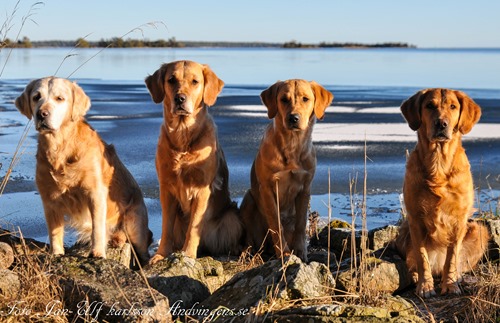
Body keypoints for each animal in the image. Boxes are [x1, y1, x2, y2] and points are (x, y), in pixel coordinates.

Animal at [15, 77, 152, 264]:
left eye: (59, 98)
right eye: (36, 97)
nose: (41, 114)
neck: (61, 146)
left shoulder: (95, 193)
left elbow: (97, 229)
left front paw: (98, 253)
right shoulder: (49, 199)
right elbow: (54, 232)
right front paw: (56, 254)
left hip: (134, 224)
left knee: (142, 250)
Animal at [145, 60, 242, 264]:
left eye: (195, 81)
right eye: (171, 80)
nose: (180, 99)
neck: (183, 137)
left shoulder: (202, 190)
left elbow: (194, 227)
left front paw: (188, 254)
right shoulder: (166, 189)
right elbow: (166, 227)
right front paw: (161, 255)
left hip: (232, 217)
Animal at [241, 79, 334, 262]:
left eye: (305, 99)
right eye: (284, 99)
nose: (293, 117)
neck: (292, 145)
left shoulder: (305, 188)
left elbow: (300, 224)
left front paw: (300, 251)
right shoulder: (267, 188)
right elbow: (276, 224)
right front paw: (284, 253)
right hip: (249, 198)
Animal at [396, 88, 490, 298]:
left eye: (453, 106)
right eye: (429, 105)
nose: (442, 123)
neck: (438, 163)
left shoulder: (459, 220)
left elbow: (452, 256)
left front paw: (450, 284)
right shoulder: (415, 219)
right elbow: (422, 257)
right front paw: (425, 286)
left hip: (479, 229)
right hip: (403, 231)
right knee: (413, 262)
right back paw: (416, 277)